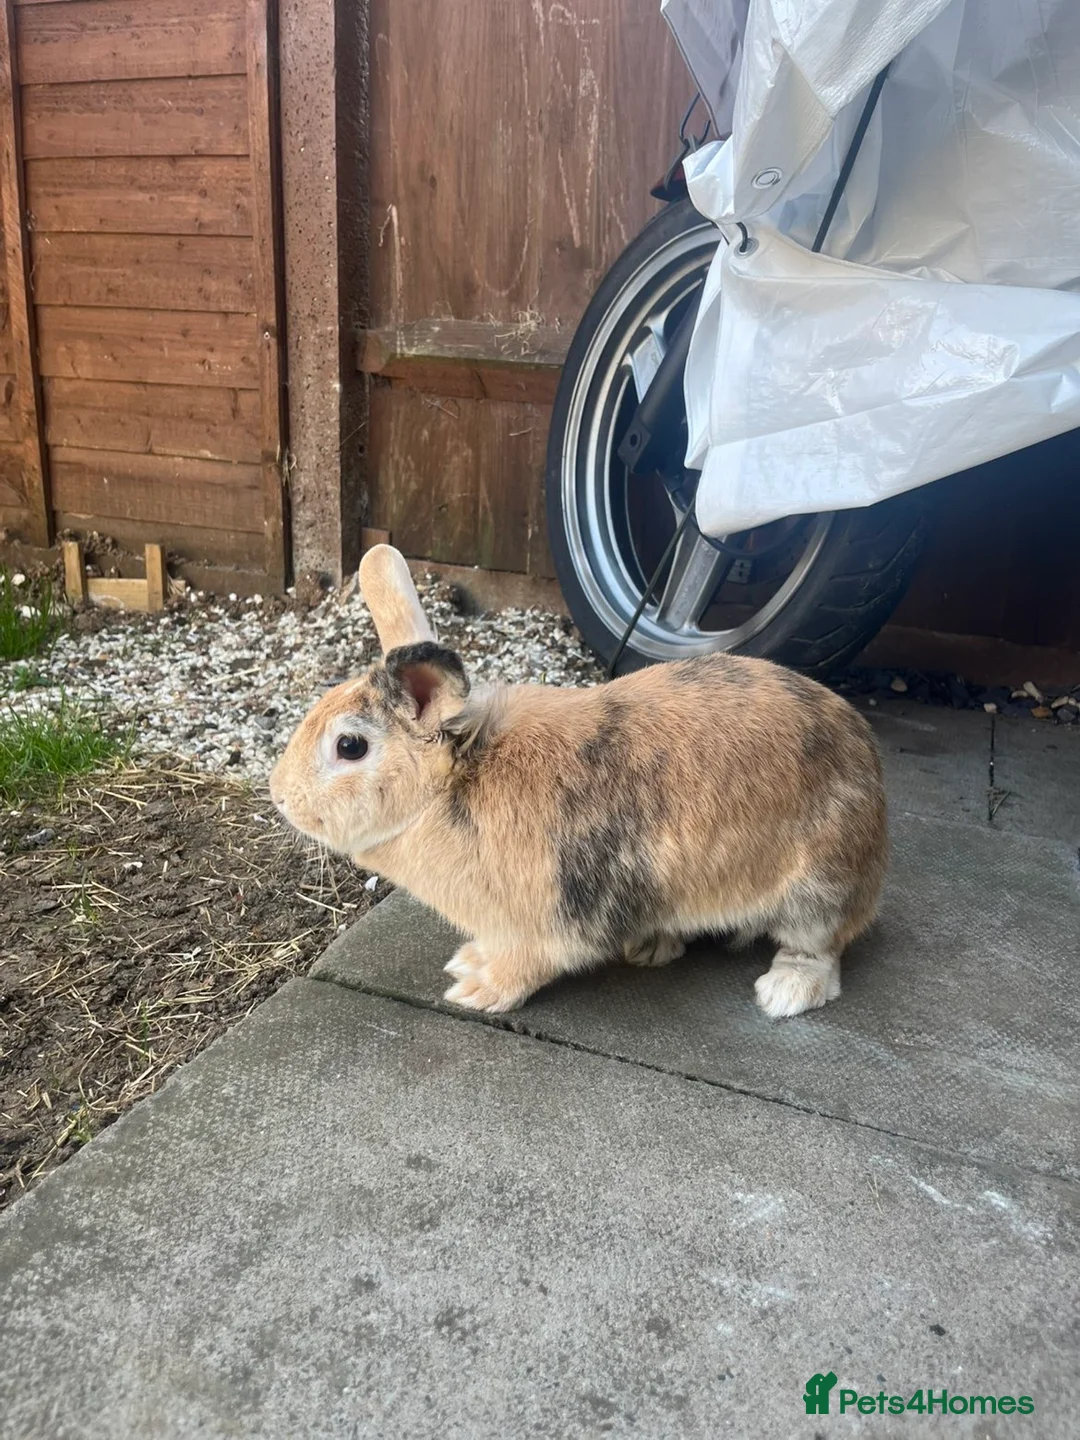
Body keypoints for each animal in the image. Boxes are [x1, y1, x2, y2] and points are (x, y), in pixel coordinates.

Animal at [269, 544, 888, 1019]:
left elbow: (525, 966)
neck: (454, 785)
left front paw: (475, 989)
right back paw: (652, 945)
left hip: (817, 887)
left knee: (819, 949)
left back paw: (783, 993)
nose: (279, 796)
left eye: (350, 746)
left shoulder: (541, 925)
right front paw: (468, 960)